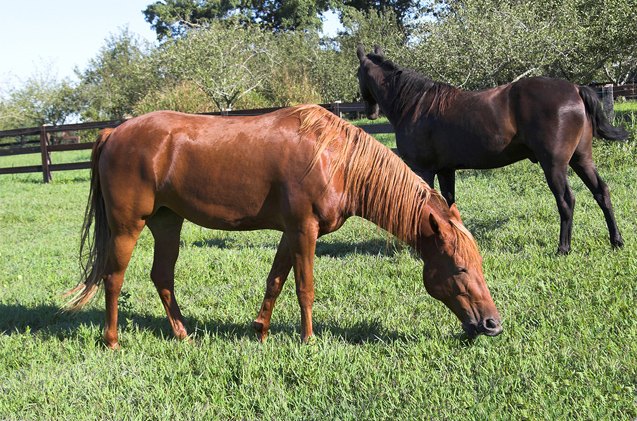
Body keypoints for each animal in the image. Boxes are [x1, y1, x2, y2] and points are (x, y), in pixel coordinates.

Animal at [64, 103, 502, 346]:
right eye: (460, 268)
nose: (492, 324)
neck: (335, 159)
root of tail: (114, 132)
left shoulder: (291, 233)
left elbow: (275, 280)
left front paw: (260, 331)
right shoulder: (304, 231)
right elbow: (305, 288)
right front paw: (308, 340)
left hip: (168, 224)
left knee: (162, 277)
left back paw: (183, 335)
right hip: (128, 227)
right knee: (114, 279)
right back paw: (112, 341)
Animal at [356, 45, 628, 253]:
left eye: (357, 74)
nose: (370, 111)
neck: (415, 104)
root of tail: (575, 89)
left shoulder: (424, 169)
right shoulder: (445, 170)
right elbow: (447, 204)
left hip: (554, 165)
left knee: (566, 201)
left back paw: (563, 248)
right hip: (581, 159)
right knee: (601, 192)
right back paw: (616, 241)